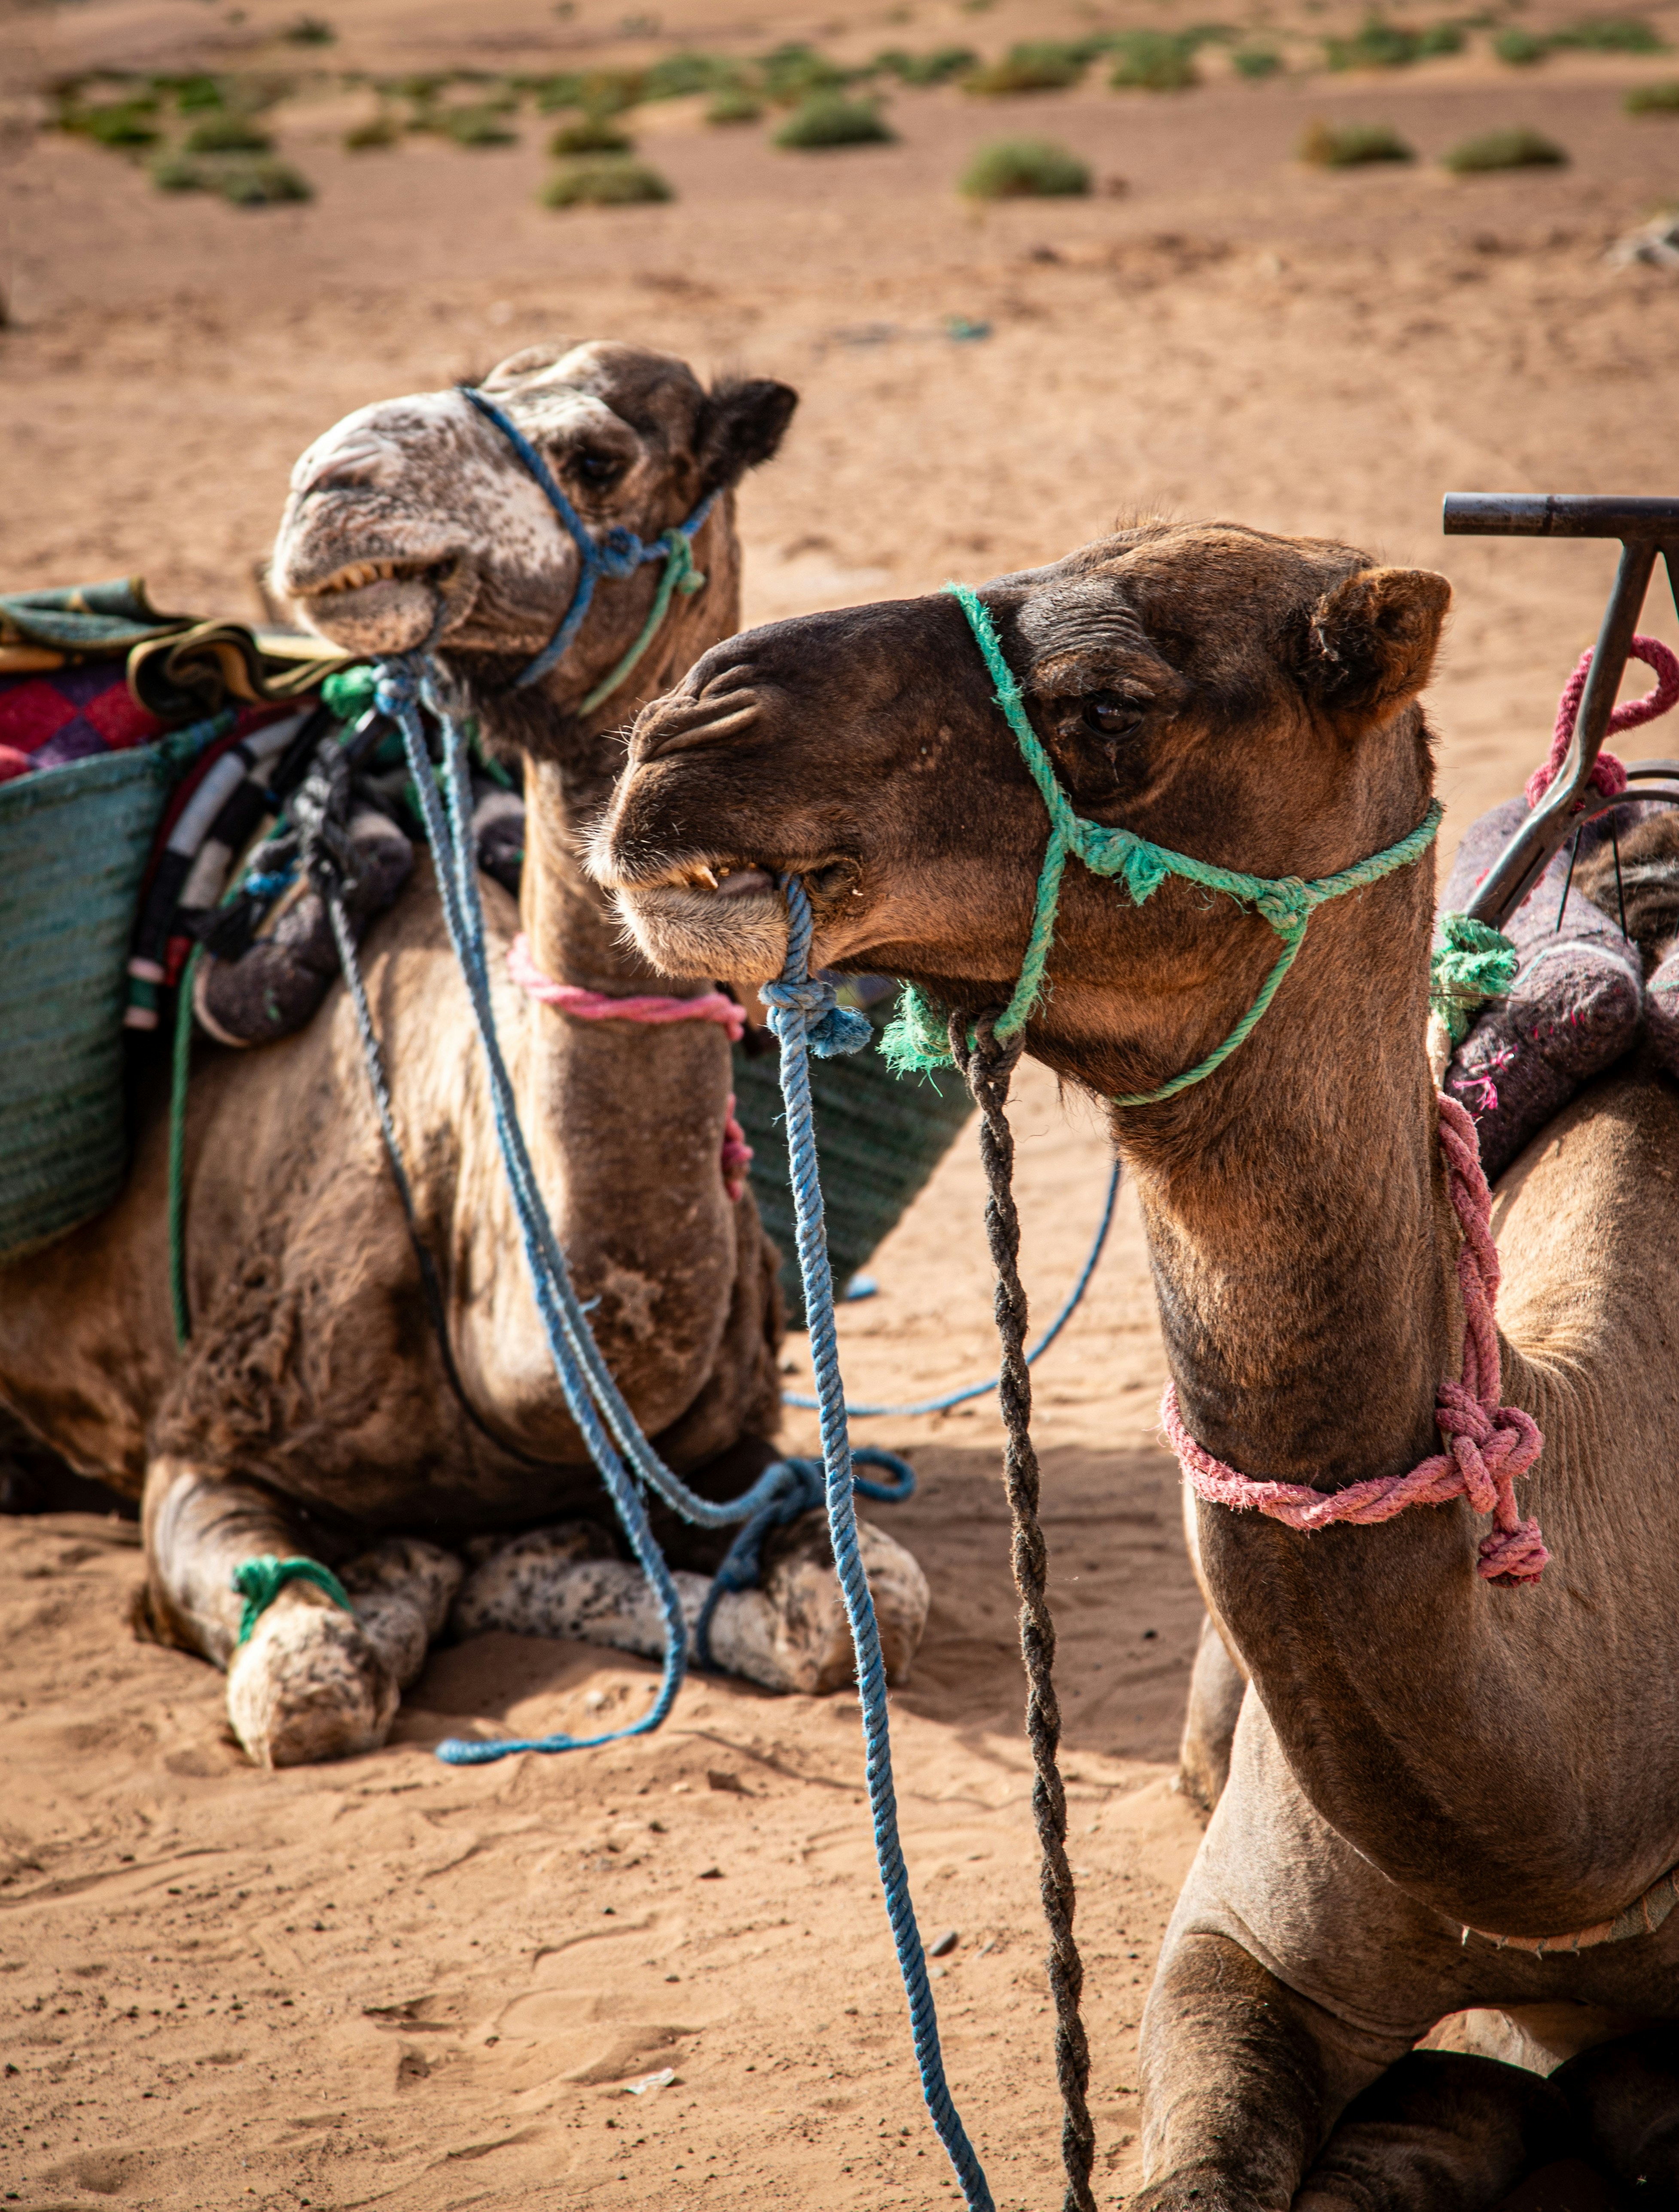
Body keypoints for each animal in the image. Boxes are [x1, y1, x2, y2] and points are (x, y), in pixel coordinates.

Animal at [0, 341, 928, 1771]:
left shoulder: (739, 1450)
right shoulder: (199, 1445)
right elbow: (309, 1680)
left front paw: (525, 1560)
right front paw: (413, 1571)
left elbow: (865, 1607)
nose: (330, 486)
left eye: (599, 454)